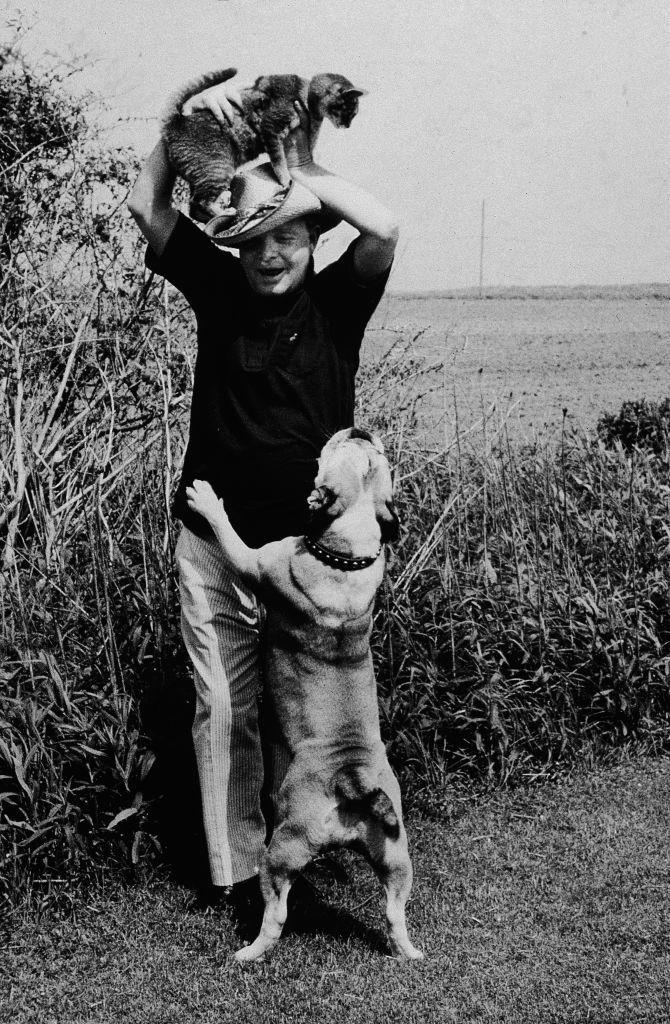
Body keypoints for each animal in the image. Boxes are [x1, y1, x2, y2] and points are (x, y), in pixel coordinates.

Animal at [160, 70, 366, 226]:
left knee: (193, 207)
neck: (307, 96)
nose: (348, 125)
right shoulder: (271, 129)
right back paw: (225, 211)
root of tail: (176, 122)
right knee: (199, 202)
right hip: (217, 168)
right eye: (349, 111)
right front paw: (285, 181)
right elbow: (279, 163)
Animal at [186, 423, 422, 958]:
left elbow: (230, 537)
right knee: (395, 911)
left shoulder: (253, 561)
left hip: (282, 851)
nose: (359, 427)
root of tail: (353, 781)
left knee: (276, 914)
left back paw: (249, 952)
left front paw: (207, 500)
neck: (351, 550)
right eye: (375, 455)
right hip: (397, 858)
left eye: (342, 451)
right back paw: (409, 952)